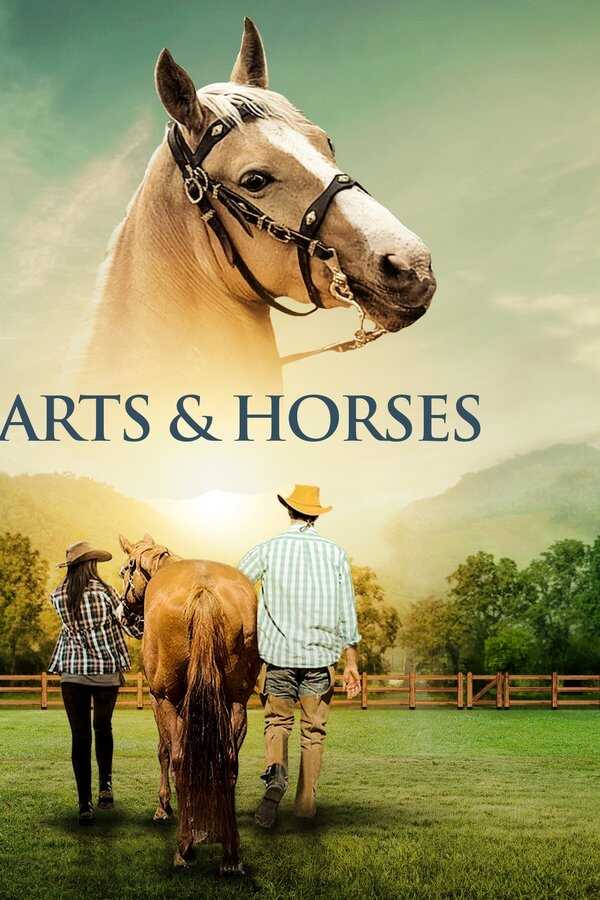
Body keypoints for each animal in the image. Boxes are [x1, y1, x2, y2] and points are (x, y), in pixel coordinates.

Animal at [118, 533, 260, 876]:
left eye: (124, 571)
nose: (121, 613)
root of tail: (204, 589)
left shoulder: (159, 699)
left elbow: (164, 751)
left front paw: (163, 807)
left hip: (168, 700)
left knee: (180, 758)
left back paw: (184, 848)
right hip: (237, 702)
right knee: (229, 762)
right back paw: (231, 856)